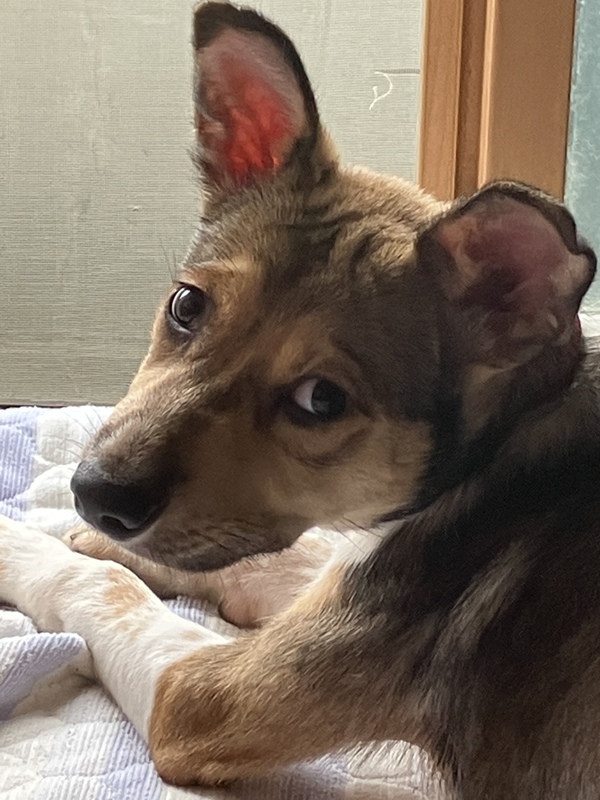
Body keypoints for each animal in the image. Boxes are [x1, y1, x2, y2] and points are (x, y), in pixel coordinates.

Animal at [0, 3, 599, 797]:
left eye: (321, 400)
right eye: (186, 306)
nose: (97, 496)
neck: (496, 456)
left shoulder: (198, 697)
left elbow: (105, 587)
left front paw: (28, 543)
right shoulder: (334, 569)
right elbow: (283, 555)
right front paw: (96, 539)